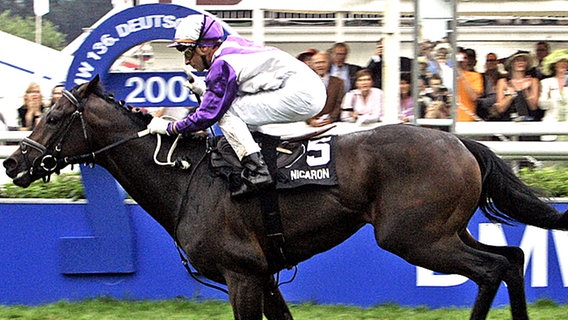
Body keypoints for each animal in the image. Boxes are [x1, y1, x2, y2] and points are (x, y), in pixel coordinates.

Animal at [4, 76, 568, 318]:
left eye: (54, 116)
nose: (13, 163)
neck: (188, 177)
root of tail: (458, 141)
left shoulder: (241, 274)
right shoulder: (264, 276)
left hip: (416, 237)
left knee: (493, 268)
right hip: (443, 231)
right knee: (511, 258)